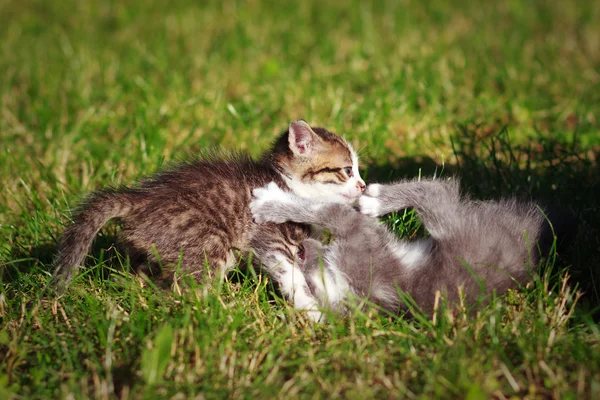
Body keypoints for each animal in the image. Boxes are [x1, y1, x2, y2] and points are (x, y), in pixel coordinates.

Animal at [250, 178, 576, 316]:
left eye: (305, 281)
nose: (303, 246)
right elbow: (325, 211)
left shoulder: (357, 232)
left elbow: (322, 210)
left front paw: (272, 204)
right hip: (451, 222)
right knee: (439, 190)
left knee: (437, 187)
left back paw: (378, 198)